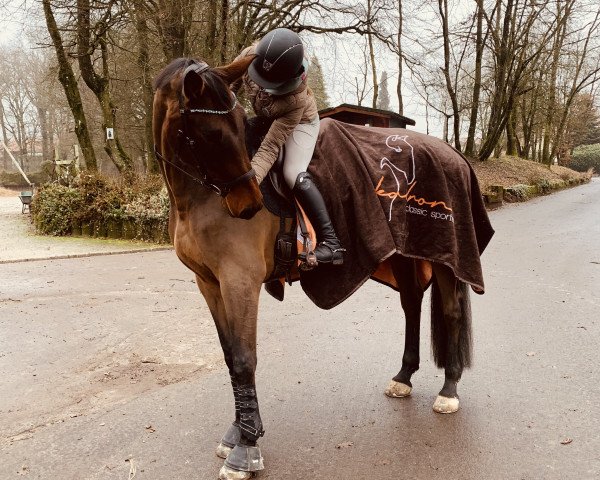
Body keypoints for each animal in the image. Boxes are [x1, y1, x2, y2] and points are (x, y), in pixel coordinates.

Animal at [154, 57, 482, 480]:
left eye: (238, 126)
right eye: (211, 132)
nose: (249, 203)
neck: (200, 200)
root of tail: (452, 152)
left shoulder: (240, 282)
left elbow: (245, 360)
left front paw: (246, 448)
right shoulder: (209, 283)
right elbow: (230, 357)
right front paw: (239, 431)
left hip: (442, 256)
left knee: (451, 312)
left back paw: (449, 390)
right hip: (404, 255)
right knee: (411, 304)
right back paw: (404, 377)